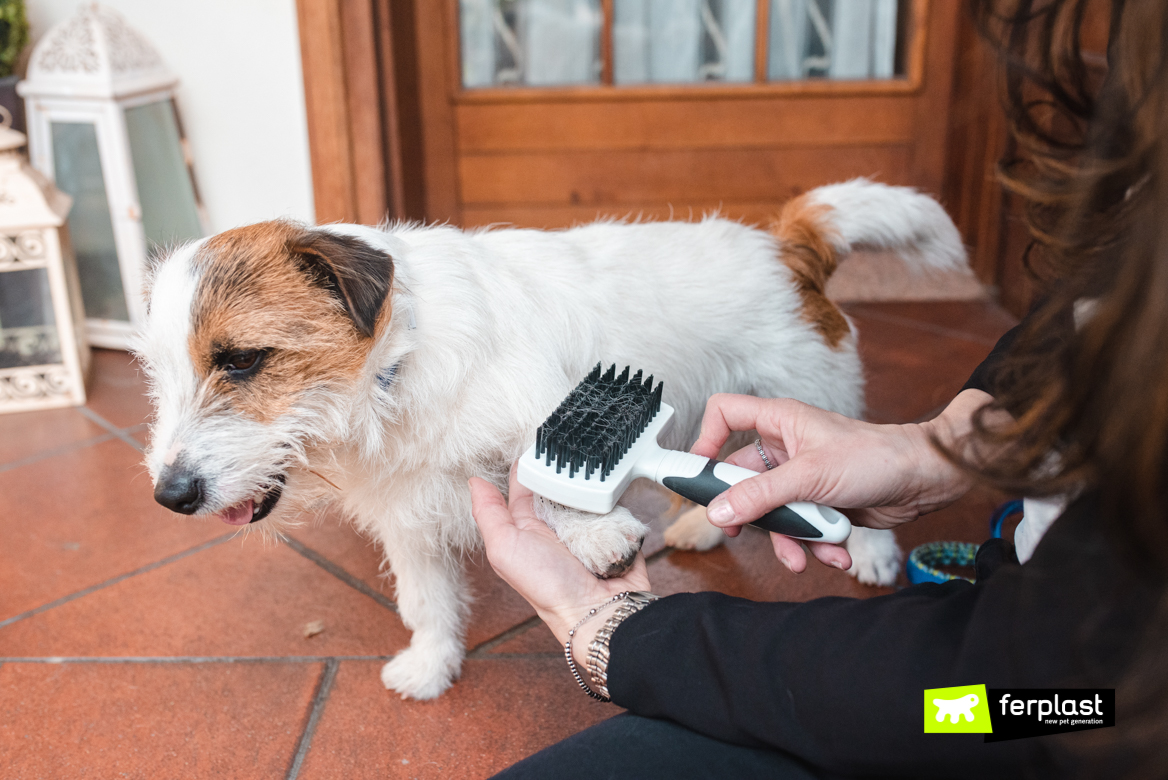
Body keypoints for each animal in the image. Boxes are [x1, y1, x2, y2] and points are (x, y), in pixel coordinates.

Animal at [134, 178, 967, 700]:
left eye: (242, 360)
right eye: (158, 372)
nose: (170, 496)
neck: (397, 369)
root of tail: (781, 247)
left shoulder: (549, 414)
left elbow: (548, 484)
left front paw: (594, 539)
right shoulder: (410, 516)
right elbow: (427, 599)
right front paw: (431, 667)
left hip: (814, 398)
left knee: (849, 465)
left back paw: (870, 550)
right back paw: (704, 522)